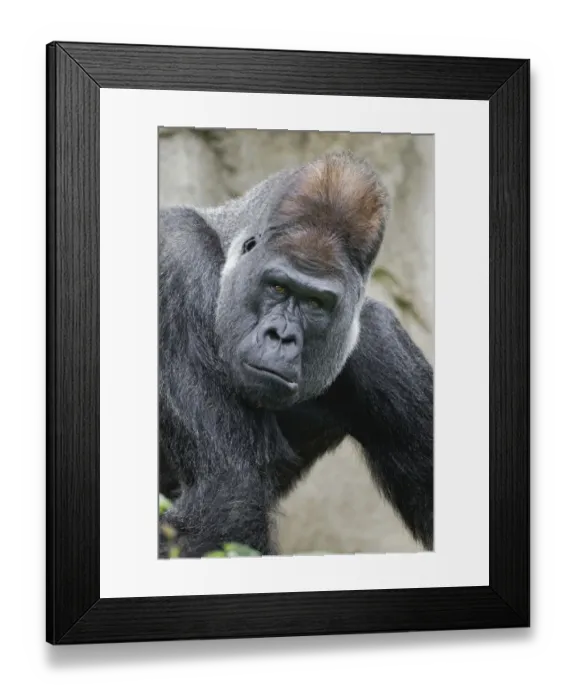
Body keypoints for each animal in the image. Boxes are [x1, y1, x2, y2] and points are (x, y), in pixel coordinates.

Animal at [158, 150, 433, 558]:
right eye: (277, 286)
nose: (282, 336)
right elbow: (227, 492)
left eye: (316, 303)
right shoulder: (178, 258)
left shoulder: (385, 349)